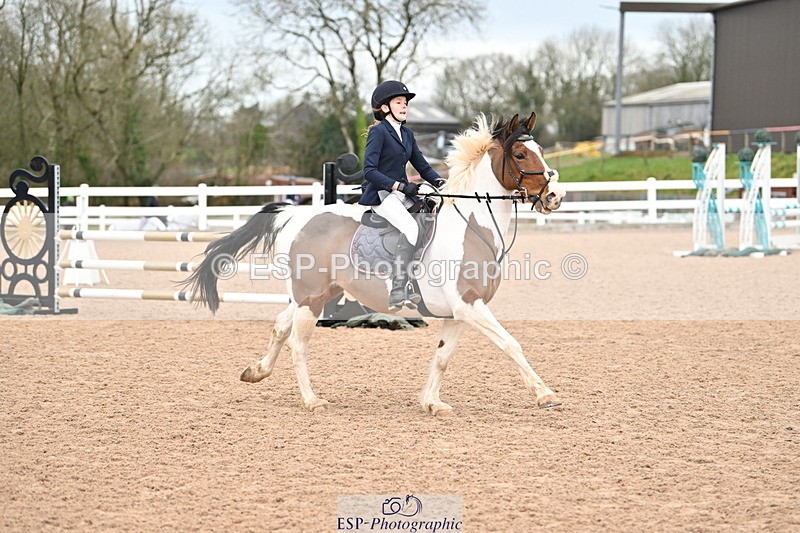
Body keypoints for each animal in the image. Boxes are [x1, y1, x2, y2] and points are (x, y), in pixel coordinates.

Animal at [184, 112, 566, 415]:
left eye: (540, 150)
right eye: (520, 153)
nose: (554, 196)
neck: (471, 227)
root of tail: (295, 214)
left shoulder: (458, 312)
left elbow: (442, 357)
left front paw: (431, 402)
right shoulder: (469, 305)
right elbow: (510, 344)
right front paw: (545, 394)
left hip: (312, 294)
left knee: (280, 326)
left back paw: (256, 372)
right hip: (311, 299)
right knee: (297, 343)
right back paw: (311, 400)